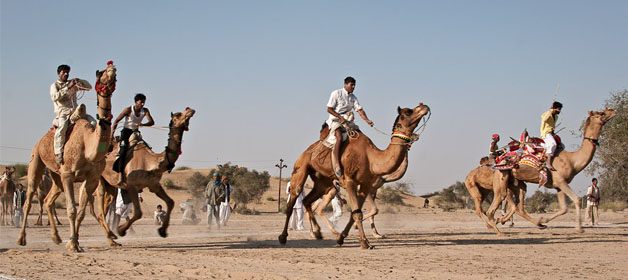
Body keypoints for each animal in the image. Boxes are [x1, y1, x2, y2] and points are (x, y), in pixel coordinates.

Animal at [16, 60, 118, 252]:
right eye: (101, 73)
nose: (112, 68)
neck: (88, 147)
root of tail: (41, 140)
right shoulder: (69, 174)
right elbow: (71, 209)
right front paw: (72, 244)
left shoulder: (92, 178)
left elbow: (81, 212)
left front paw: (74, 241)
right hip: (37, 160)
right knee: (29, 198)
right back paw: (21, 239)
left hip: (56, 176)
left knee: (48, 200)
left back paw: (56, 238)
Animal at [89, 106, 195, 246]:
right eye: (178, 115)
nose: (190, 110)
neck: (151, 162)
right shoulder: (131, 186)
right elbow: (139, 213)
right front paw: (121, 230)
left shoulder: (154, 185)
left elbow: (170, 202)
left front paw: (162, 231)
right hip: (99, 179)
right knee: (101, 209)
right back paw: (112, 237)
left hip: (110, 185)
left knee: (106, 207)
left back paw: (111, 238)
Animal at [280, 103, 432, 249]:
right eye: (409, 112)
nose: (424, 106)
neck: (371, 158)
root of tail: (306, 151)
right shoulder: (350, 181)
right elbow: (358, 213)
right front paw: (365, 243)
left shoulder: (365, 184)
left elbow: (356, 213)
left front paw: (341, 238)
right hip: (301, 168)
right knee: (292, 201)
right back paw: (283, 237)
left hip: (323, 182)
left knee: (308, 201)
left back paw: (318, 233)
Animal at [488, 108, 616, 233]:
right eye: (601, 113)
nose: (612, 111)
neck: (572, 160)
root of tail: (499, 159)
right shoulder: (561, 181)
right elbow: (576, 200)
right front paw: (579, 228)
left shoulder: (558, 185)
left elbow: (564, 208)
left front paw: (543, 219)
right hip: (502, 179)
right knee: (500, 203)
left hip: (517, 183)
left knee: (518, 206)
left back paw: (531, 223)